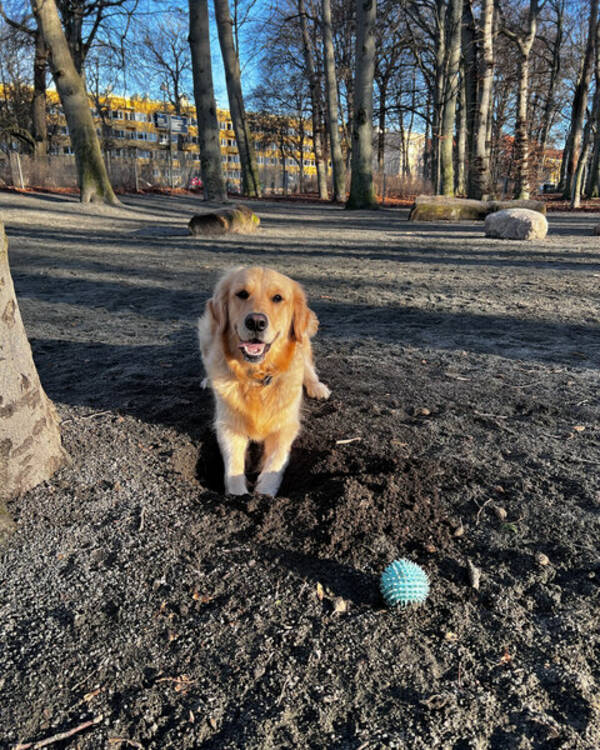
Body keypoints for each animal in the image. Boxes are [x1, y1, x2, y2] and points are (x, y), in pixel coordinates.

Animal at [198, 268, 330, 496]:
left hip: (303, 340)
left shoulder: (286, 425)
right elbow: (233, 465)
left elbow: (276, 461)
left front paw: (264, 494)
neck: (256, 379)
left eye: (277, 298)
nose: (256, 322)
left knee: (308, 366)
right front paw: (238, 495)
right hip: (208, 329)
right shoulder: (227, 425)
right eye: (242, 294)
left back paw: (317, 387)